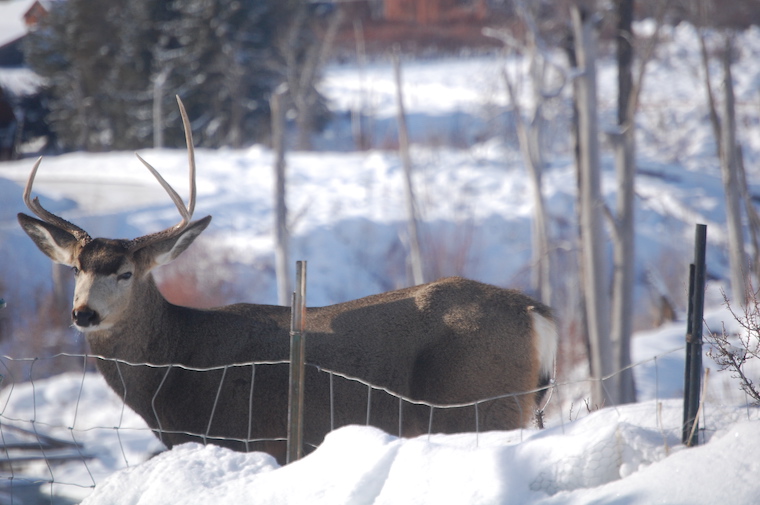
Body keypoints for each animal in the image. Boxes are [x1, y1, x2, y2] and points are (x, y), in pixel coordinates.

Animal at [17, 97, 558, 464]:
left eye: (127, 272)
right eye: (76, 268)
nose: (83, 313)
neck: (174, 367)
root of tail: (536, 312)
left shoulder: (246, 439)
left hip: (477, 406)